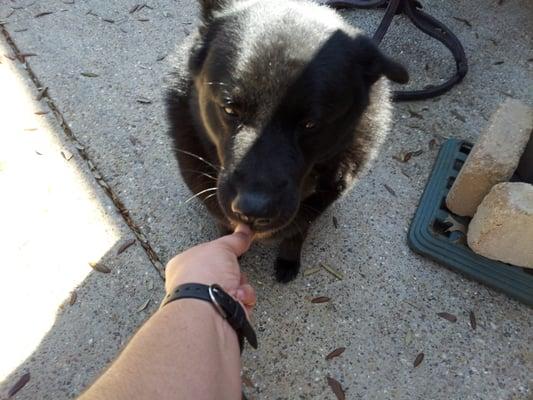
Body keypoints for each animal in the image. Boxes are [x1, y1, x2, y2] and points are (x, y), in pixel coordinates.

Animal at [166, 0, 408, 282]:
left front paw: (289, 258)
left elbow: (297, 233)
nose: (252, 211)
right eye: (229, 109)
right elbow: (225, 226)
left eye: (310, 123)